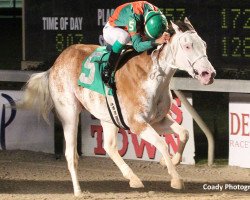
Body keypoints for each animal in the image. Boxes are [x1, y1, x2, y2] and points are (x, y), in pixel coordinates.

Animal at [21, 18, 215, 195]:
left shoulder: (156, 120)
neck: (153, 76)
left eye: (204, 44)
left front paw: (170, 161)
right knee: (71, 154)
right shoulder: (137, 123)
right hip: (69, 112)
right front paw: (176, 179)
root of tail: (55, 65)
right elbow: (162, 143)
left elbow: (184, 133)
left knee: (110, 146)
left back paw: (133, 178)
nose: (209, 74)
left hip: (107, 117)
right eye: (188, 46)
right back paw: (78, 191)